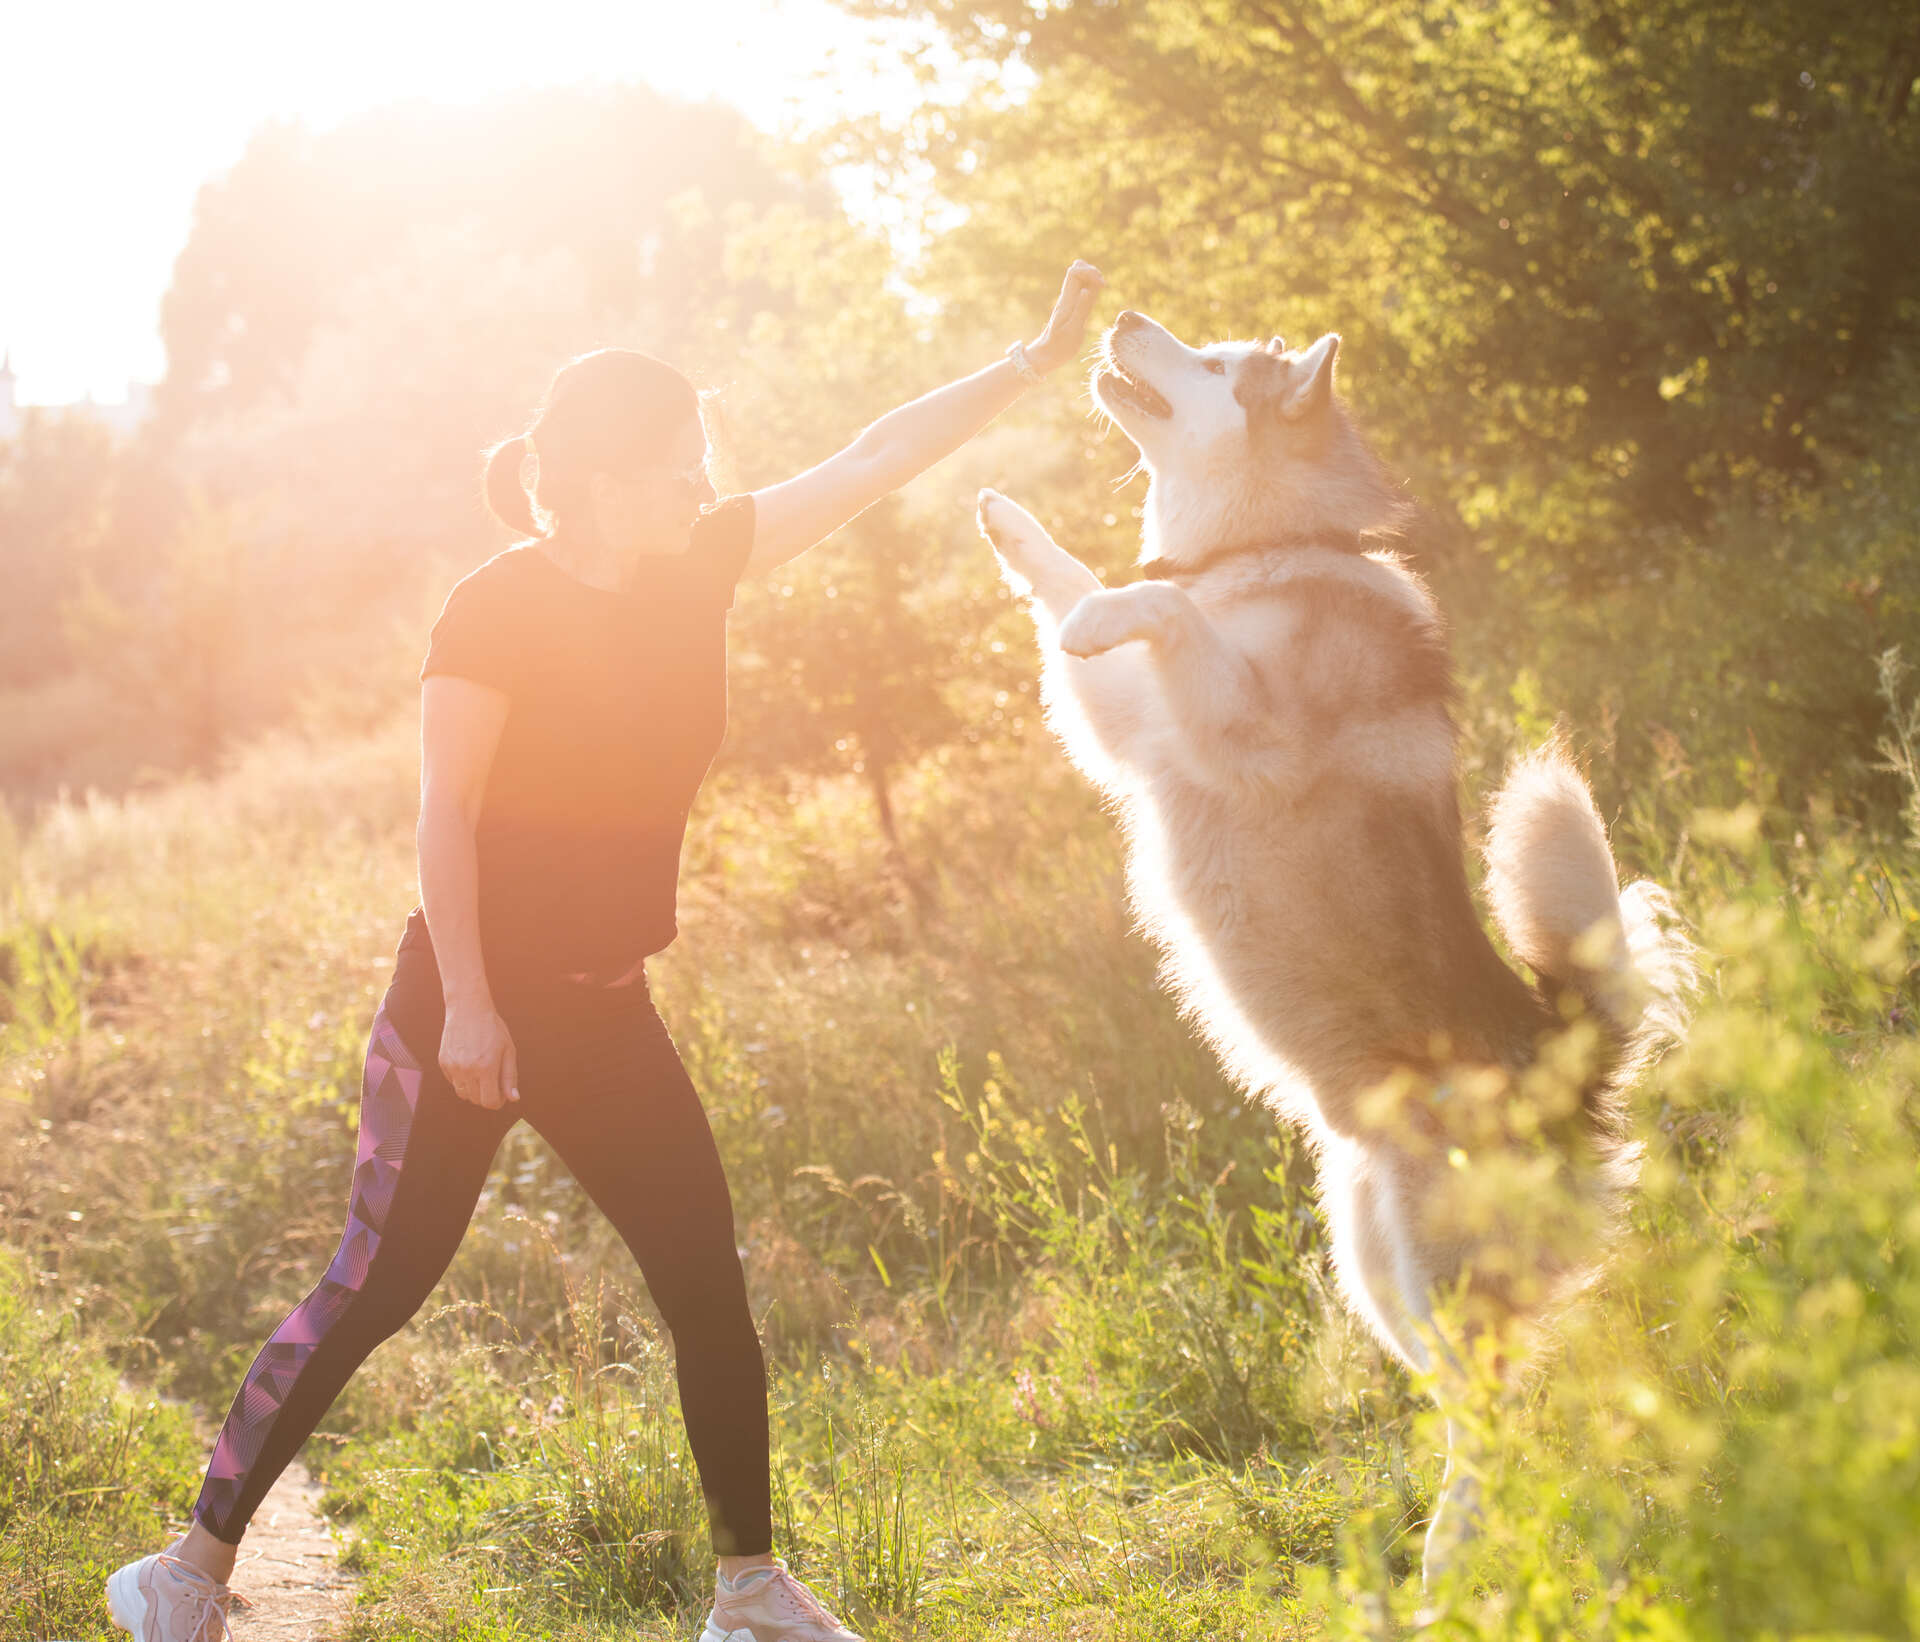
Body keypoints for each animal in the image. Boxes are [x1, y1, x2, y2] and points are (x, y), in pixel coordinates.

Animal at [975, 311, 1697, 1590]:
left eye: (1216, 364)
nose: (1122, 318)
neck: (1268, 545)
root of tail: (1568, 1062)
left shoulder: (1236, 728)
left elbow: (1150, 610)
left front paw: (1114, 601)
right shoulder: (1130, 729)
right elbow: (1077, 591)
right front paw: (1015, 525)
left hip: (1437, 1270)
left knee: (1492, 1415)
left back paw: (1448, 1567)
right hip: (1377, 1266)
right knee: (1481, 1405)